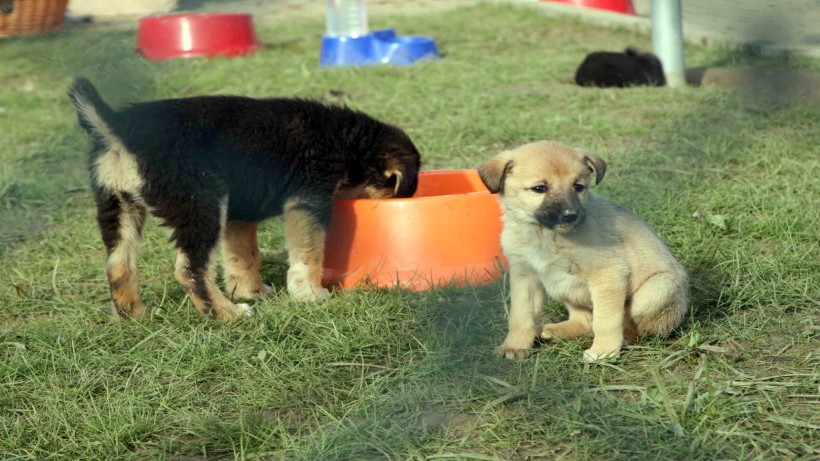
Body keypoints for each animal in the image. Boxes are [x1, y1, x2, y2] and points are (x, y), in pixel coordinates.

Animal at [67, 78, 420, 320]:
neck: (344, 139)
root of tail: (119, 130)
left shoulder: (239, 216)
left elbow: (243, 256)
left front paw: (252, 291)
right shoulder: (308, 200)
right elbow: (309, 254)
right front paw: (309, 293)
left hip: (118, 208)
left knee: (119, 265)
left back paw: (136, 316)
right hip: (201, 203)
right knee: (190, 270)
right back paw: (229, 314)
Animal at [478, 139, 688, 360]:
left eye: (578, 187)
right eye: (539, 188)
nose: (570, 215)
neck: (545, 236)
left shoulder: (608, 275)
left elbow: (606, 320)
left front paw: (603, 351)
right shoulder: (525, 277)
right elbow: (520, 317)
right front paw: (515, 346)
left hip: (656, 289)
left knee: (638, 327)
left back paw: (625, 339)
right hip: (566, 291)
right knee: (585, 322)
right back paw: (555, 330)